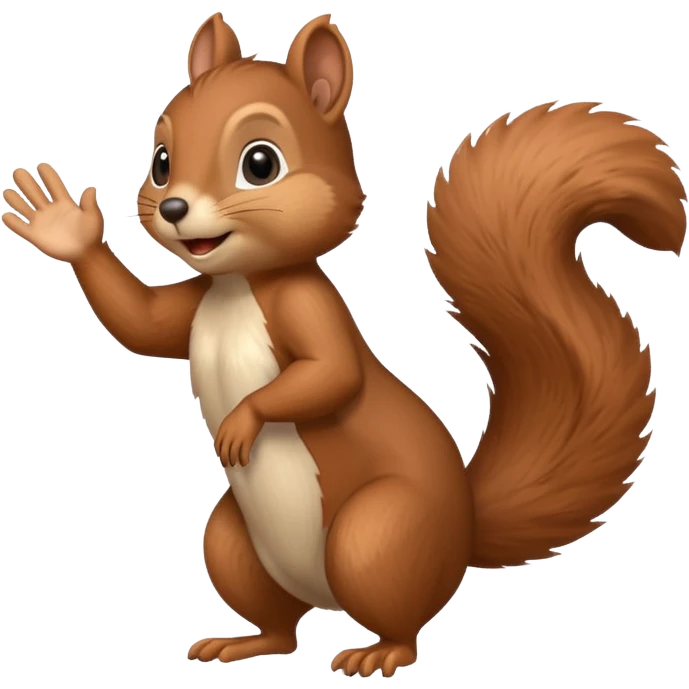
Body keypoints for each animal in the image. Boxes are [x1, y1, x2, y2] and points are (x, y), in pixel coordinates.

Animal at [2, 11, 687, 679]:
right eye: (163, 159)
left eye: (260, 163)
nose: (171, 208)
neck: (238, 283)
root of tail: (464, 531)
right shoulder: (195, 301)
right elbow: (140, 323)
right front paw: (66, 231)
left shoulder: (311, 308)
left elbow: (331, 374)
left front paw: (244, 420)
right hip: (231, 541)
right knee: (281, 625)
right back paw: (244, 642)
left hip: (377, 536)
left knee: (400, 618)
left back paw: (379, 654)